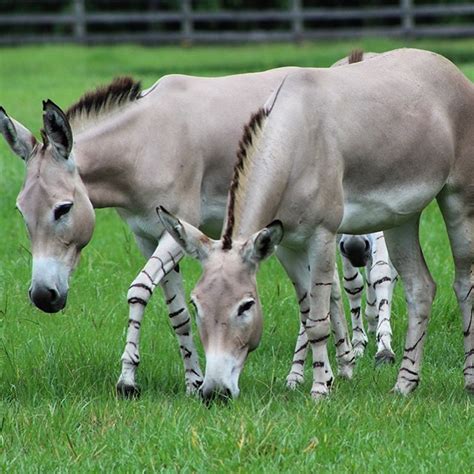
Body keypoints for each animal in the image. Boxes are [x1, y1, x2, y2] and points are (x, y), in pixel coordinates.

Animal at [0, 70, 354, 396]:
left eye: (63, 209)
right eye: (20, 211)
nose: (43, 297)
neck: (144, 144)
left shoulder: (174, 233)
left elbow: (140, 289)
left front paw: (128, 379)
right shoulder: (149, 235)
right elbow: (178, 314)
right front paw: (193, 381)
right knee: (329, 289)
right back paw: (337, 368)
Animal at [158, 49, 474, 400]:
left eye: (246, 306)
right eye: (196, 304)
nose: (214, 392)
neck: (294, 141)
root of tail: (441, 62)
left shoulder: (321, 236)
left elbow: (318, 321)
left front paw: (320, 389)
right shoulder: (286, 244)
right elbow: (309, 312)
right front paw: (328, 378)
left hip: (459, 198)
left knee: (464, 284)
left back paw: (469, 380)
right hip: (402, 216)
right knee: (420, 287)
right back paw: (404, 384)